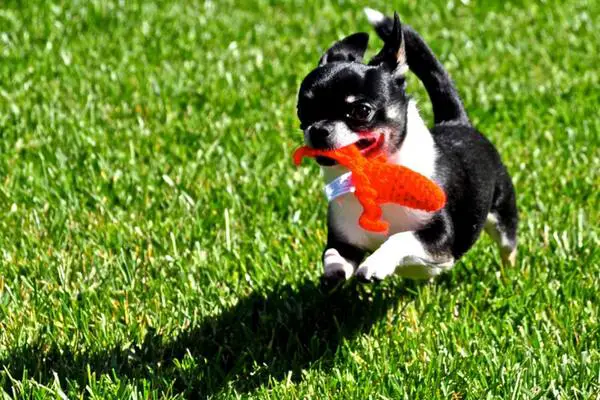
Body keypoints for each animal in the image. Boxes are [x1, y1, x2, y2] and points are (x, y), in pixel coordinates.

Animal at [296, 10, 516, 284]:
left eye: (361, 111)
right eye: (302, 110)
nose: (317, 129)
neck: (376, 177)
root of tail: (456, 121)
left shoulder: (439, 240)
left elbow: (399, 239)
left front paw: (375, 263)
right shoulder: (345, 241)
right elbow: (332, 253)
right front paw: (333, 272)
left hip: (502, 215)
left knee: (508, 246)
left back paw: (509, 275)